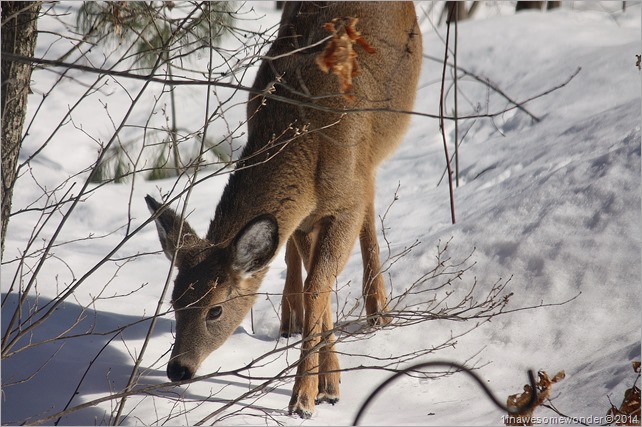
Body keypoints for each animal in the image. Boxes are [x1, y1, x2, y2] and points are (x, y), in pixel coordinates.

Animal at [145, 1, 422, 418]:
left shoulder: (345, 199)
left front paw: (305, 398)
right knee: (292, 254)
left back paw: (378, 311)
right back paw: (290, 318)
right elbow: (314, 282)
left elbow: (319, 284)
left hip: (375, 153)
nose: (178, 369)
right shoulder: (308, 215)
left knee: (370, 212)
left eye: (215, 310)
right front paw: (327, 384)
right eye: (175, 301)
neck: (303, 136)